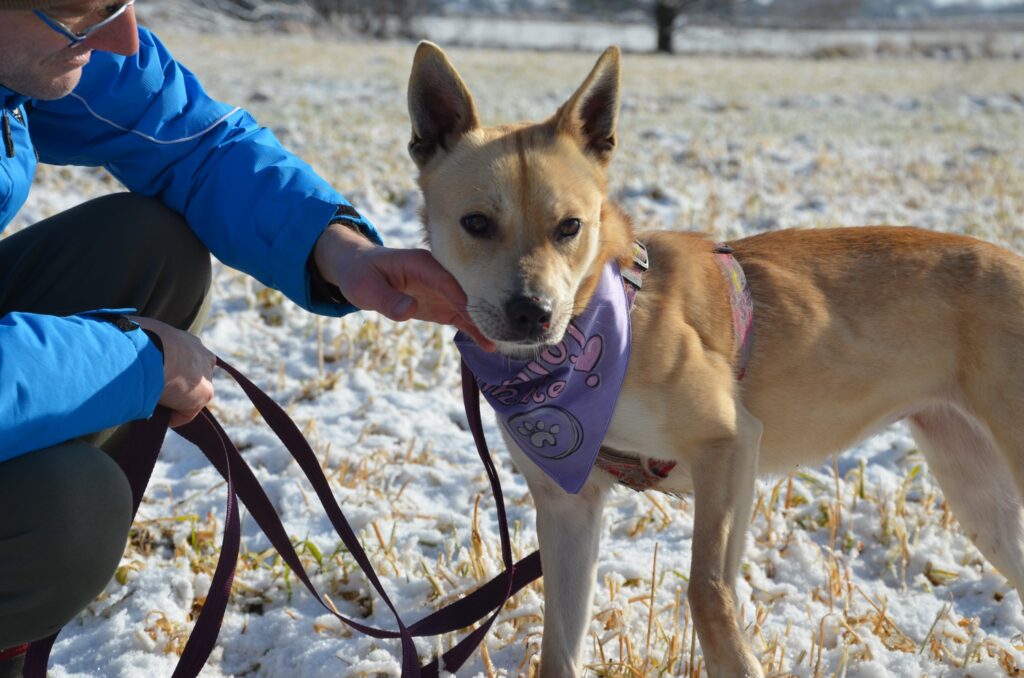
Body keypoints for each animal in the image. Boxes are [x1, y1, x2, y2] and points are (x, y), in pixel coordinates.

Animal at [403, 43, 1024, 678]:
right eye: (477, 223)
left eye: (569, 226)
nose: (533, 312)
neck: (600, 331)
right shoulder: (569, 505)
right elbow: (560, 645)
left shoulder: (728, 447)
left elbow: (708, 590)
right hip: (977, 494)